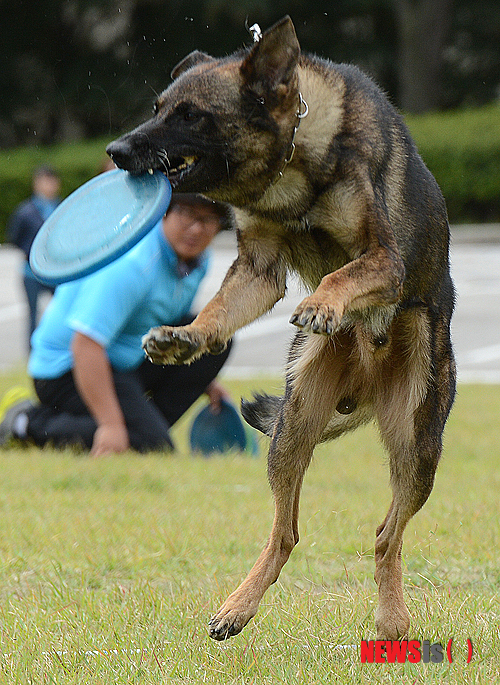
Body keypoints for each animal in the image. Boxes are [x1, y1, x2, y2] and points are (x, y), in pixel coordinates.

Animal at [107, 17, 456, 640]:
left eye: (190, 115)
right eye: (158, 107)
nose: (116, 152)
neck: (296, 159)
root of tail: (365, 389)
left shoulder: (384, 261)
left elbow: (345, 272)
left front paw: (324, 302)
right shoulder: (258, 269)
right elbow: (222, 307)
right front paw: (186, 336)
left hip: (417, 444)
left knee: (387, 535)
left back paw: (392, 617)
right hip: (294, 428)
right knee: (288, 532)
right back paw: (237, 608)